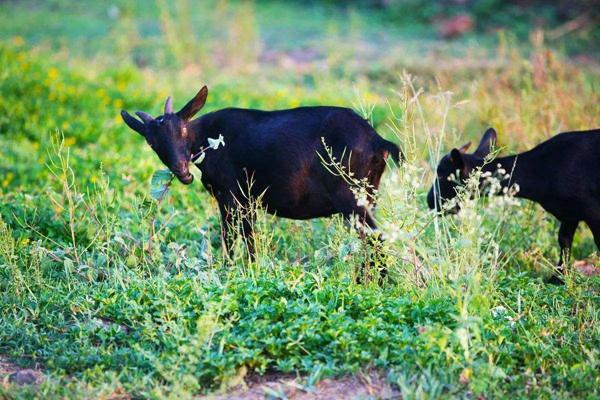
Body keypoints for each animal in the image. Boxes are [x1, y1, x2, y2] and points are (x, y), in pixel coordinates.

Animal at [121, 86, 400, 270]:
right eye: (151, 142)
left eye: (183, 130)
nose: (182, 171)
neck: (209, 138)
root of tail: (378, 141)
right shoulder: (247, 201)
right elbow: (249, 237)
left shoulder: (231, 195)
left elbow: (234, 237)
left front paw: (234, 269)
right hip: (370, 192)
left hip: (351, 196)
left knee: (375, 237)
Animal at [428, 126, 600, 282]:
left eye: (441, 175)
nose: (430, 201)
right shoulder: (570, 213)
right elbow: (564, 240)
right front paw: (558, 278)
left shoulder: (591, 211)